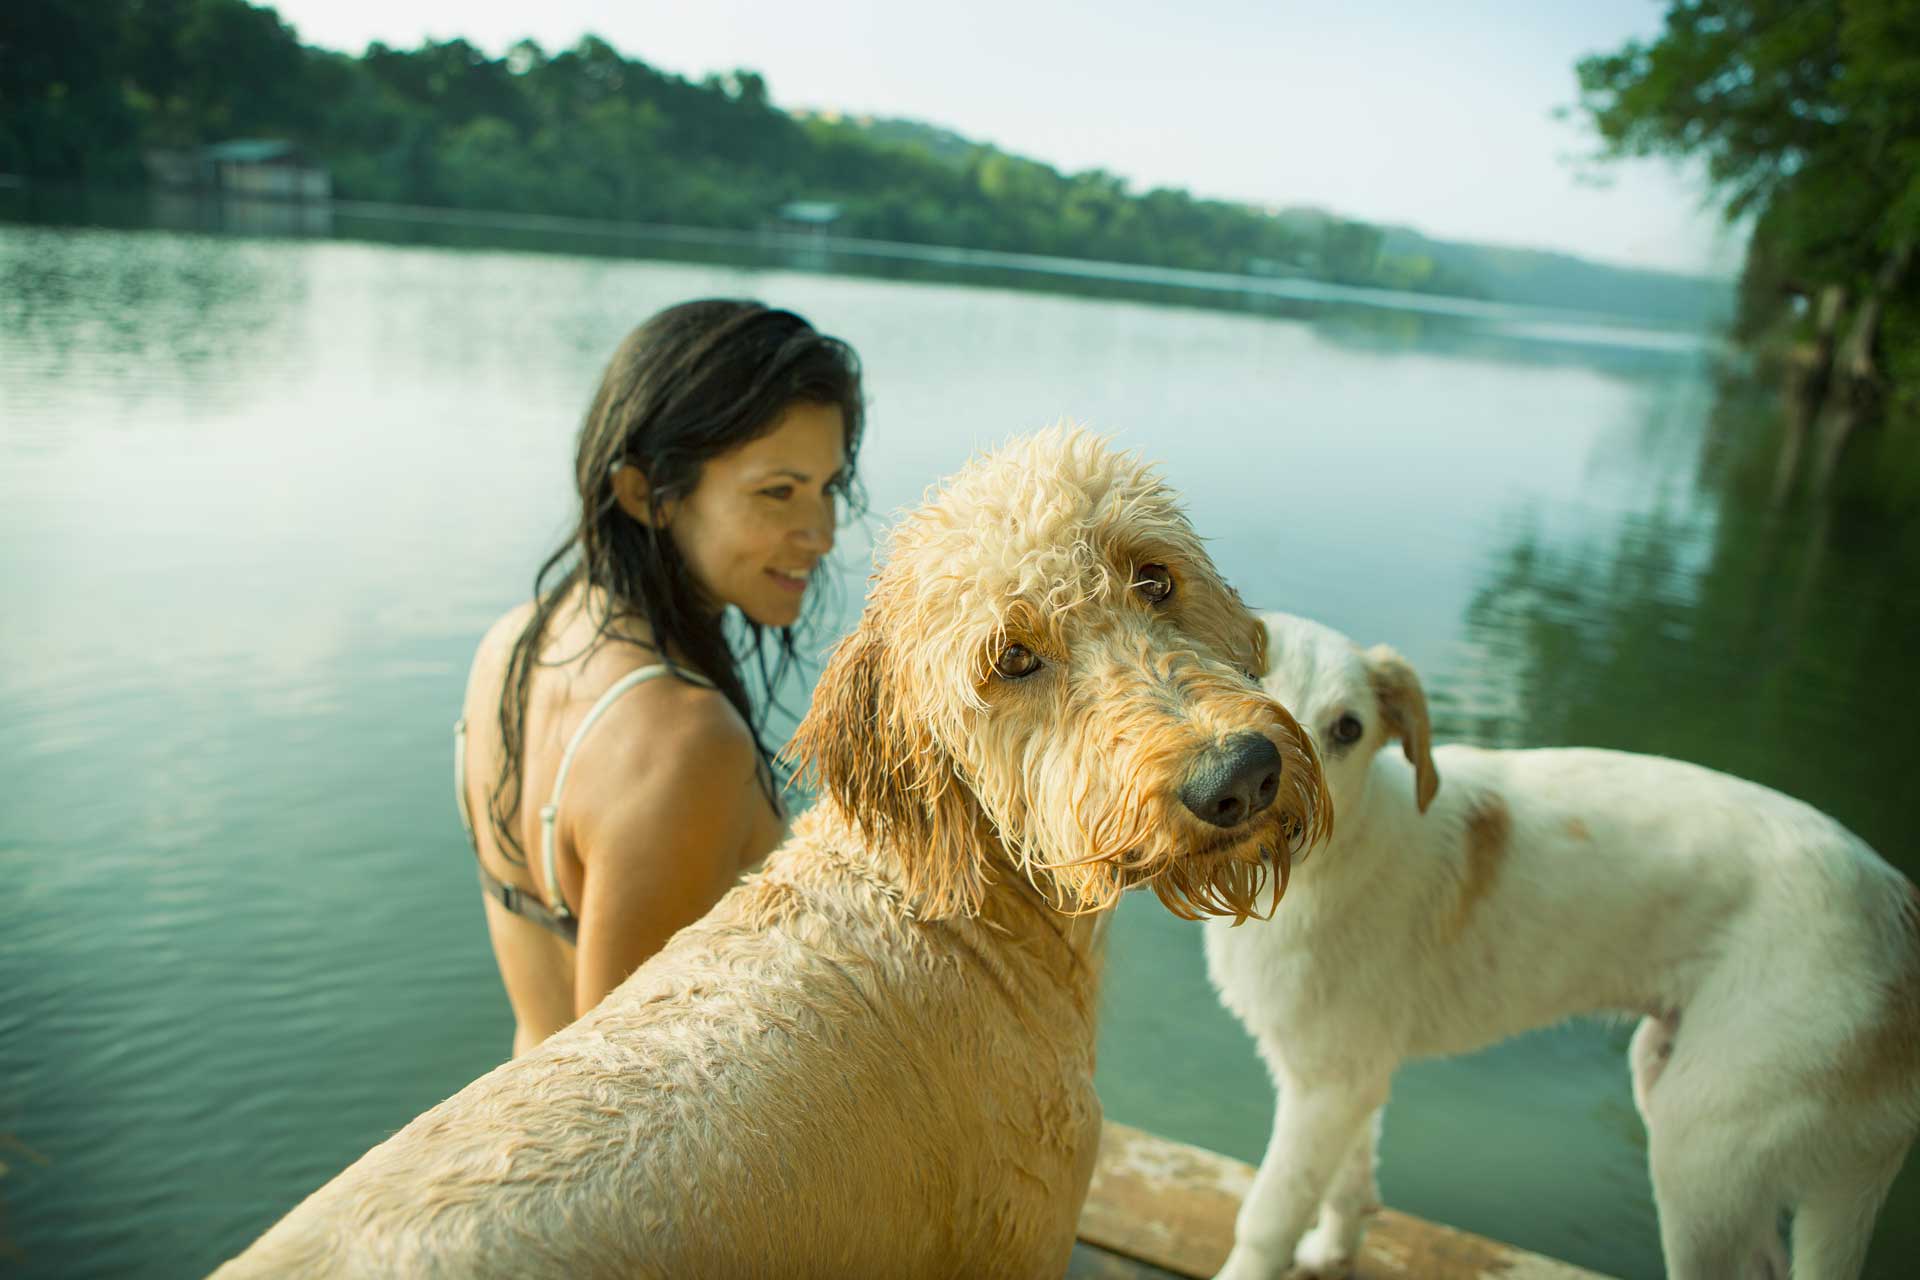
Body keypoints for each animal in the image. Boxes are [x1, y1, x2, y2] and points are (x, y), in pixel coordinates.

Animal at [1205, 610, 1912, 1280]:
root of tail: (1896, 914)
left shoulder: (1323, 1090)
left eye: (1348, 729)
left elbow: (1269, 1214)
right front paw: (1332, 1254)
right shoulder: (1346, 1074)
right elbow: (1348, 1183)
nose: (1266, 791)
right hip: (1679, 1087)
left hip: (1700, 1147)